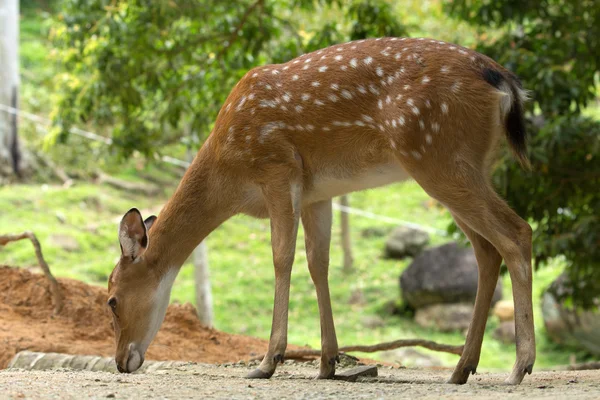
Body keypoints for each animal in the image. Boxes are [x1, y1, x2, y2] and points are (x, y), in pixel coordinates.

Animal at [106, 36, 536, 384]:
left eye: (111, 300)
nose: (121, 361)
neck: (229, 176)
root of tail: (505, 83)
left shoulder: (278, 169)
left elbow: (282, 257)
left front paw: (269, 361)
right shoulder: (318, 194)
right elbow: (319, 263)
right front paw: (327, 362)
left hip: (437, 154)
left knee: (517, 232)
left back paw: (519, 366)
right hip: (468, 164)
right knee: (487, 250)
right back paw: (462, 367)